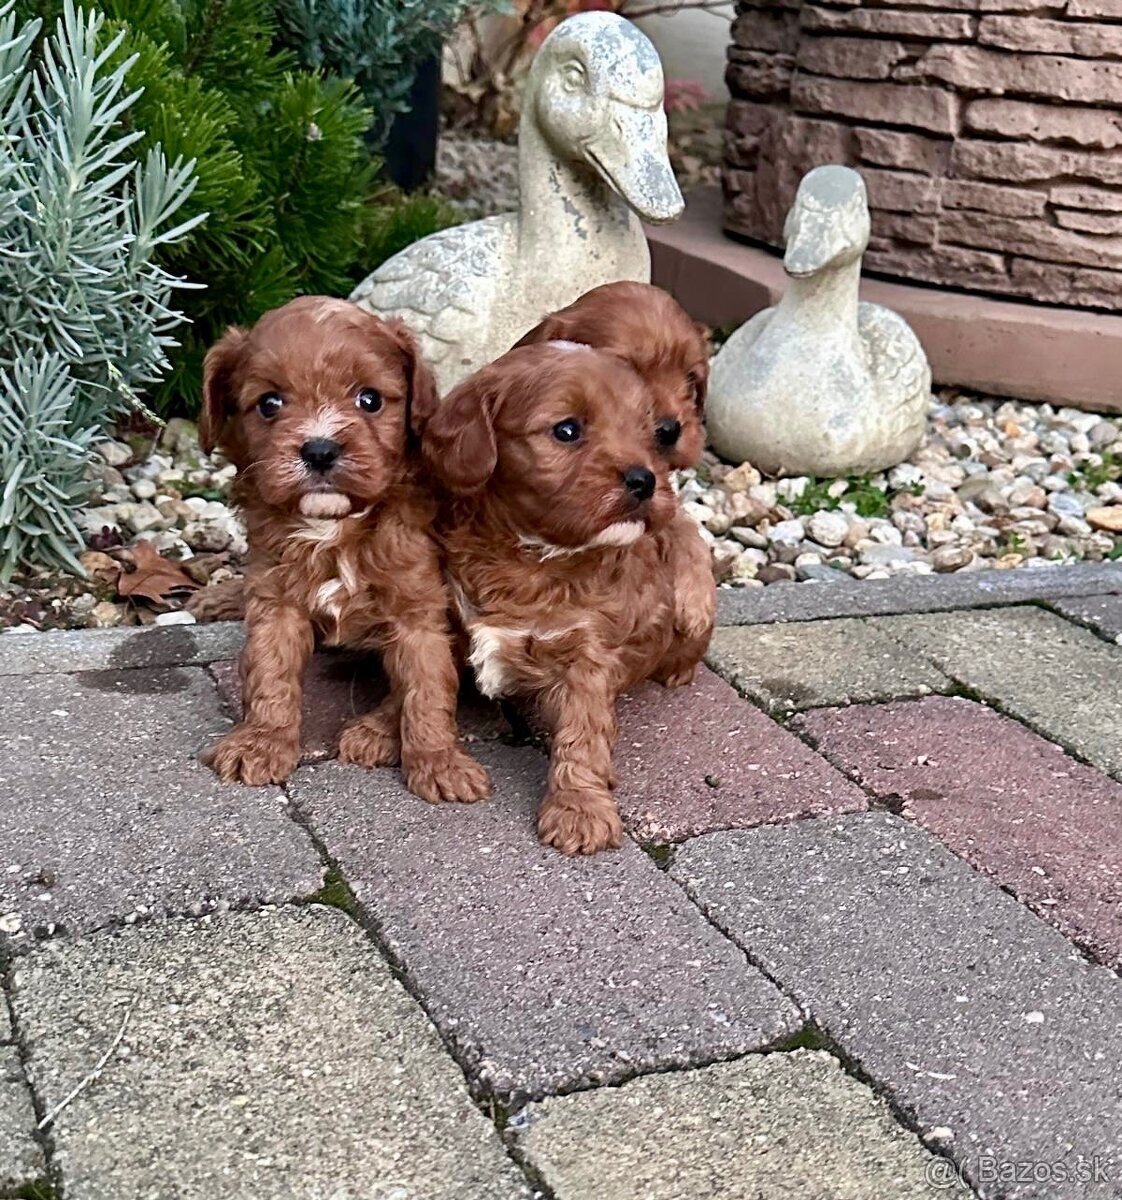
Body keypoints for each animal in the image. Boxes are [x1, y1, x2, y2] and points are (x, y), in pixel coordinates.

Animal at [196, 296, 492, 811]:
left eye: (369, 399)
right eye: (269, 404)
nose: (319, 449)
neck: (334, 527)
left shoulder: (419, 608)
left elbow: (426, 686)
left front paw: (438, 762)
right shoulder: (275, 599)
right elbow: (270, 671)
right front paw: (262, 741)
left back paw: (376, 733)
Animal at [422, 343, 720, 859]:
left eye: (649, 434)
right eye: (567, 430)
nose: (645, 479)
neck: (532, 555)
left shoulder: (588, 654)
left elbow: (582, 734)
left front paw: (579, 811)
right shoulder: (450, 620)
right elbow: (428, 684)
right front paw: (383, 732)